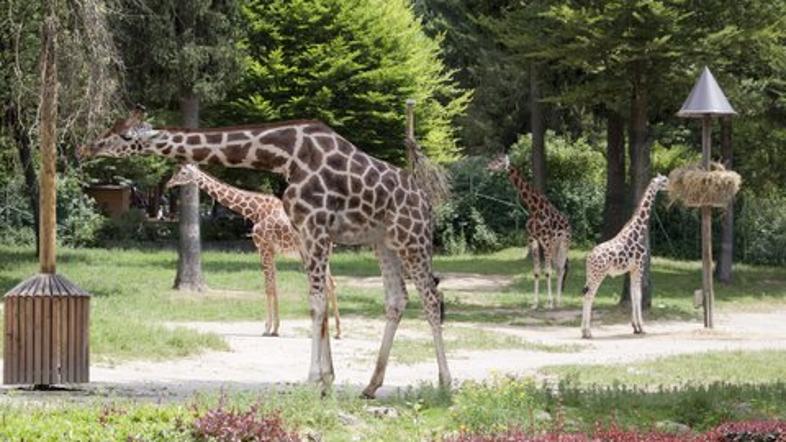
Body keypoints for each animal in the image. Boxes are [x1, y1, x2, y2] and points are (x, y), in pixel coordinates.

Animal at [165, 162, 340, 338]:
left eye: (183, 172)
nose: (169, 183)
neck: (255, 210)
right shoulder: (271, 251)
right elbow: (274, 286)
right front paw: (275, 328)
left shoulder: (263, 248)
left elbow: (268, 287)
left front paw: (268, 328)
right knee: (330, 284)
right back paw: (336, 331)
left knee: (324, 285)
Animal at [484, 154, 568, 310]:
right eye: (494, 158)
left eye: (499, 161)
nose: (488, 167)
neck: (534, 209)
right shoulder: (533, 239)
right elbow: (536, 272)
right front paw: (535, 303)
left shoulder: (546, 240)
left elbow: (547, 272)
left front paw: (549, 303)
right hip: (555, 246)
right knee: (559, 268)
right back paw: (558, 301)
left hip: (564, 243)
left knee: (561, 269)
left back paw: (558, 302)